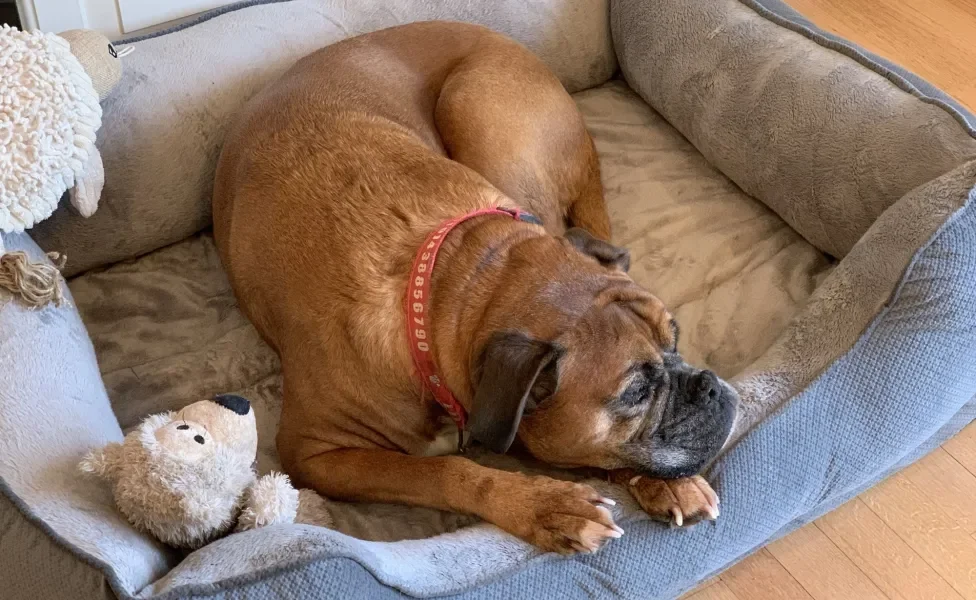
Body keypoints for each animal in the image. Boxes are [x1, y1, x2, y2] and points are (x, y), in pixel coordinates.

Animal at [212, 19, 732, 552]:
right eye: (636, 392)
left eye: (676, 339)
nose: (710, 387)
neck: (450, 287)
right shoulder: (316, 456)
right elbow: (442, 471)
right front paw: (542, 504)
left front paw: (660, 482)